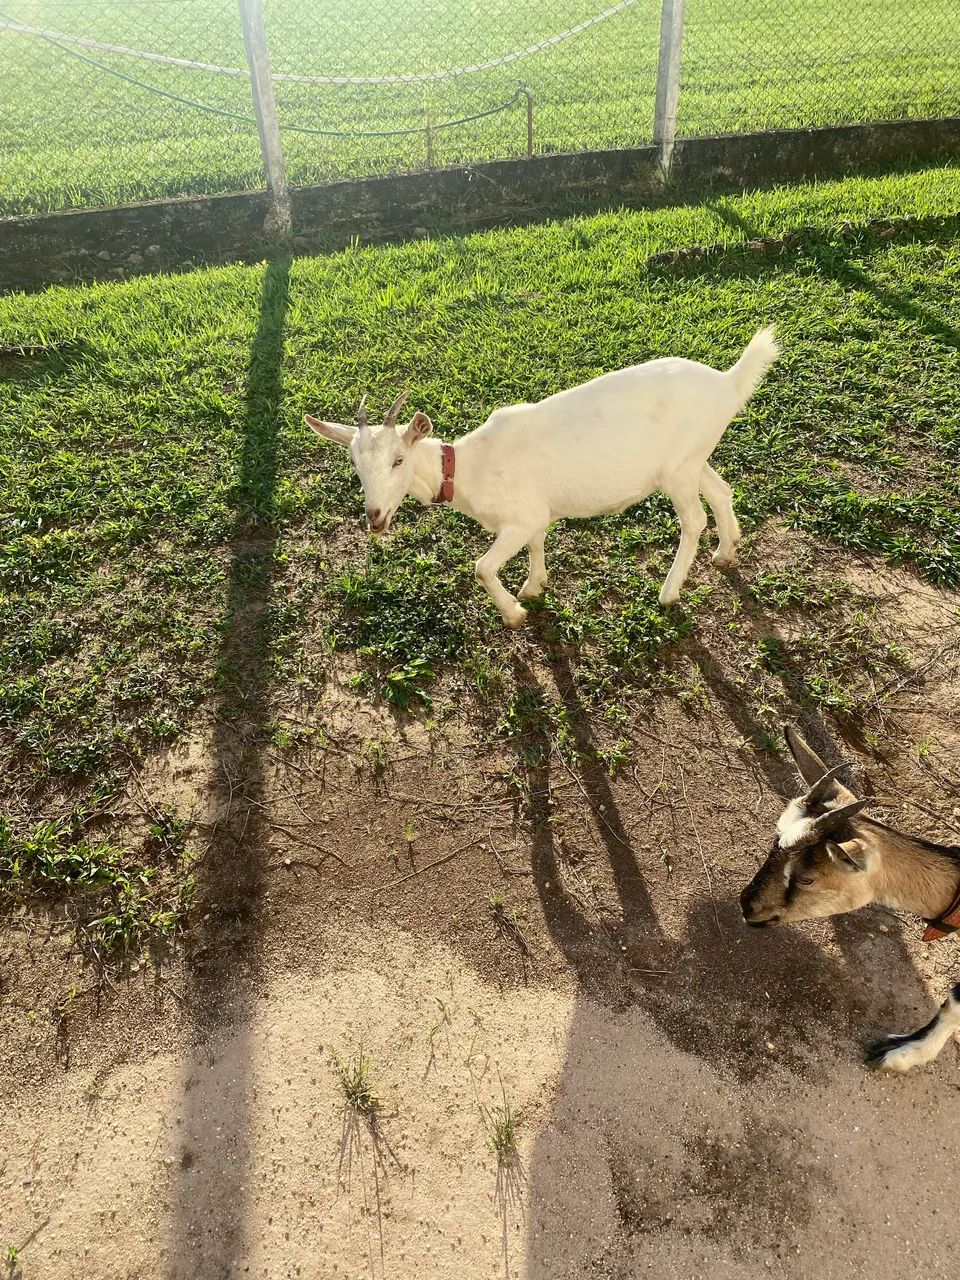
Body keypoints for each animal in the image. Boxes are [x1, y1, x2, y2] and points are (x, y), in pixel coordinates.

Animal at [305, 328, 779, 628]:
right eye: (356, 465)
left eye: (398, 460)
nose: (375, 517)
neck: (469, 469)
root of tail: (728, 383)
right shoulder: (534, 514)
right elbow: (536, 544)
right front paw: (533, 587)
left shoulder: (518, 517)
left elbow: (481, 568)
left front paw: (514, 614)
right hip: (692, 457)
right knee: (721, 490)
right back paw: (725, 552)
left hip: (679, 469)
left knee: (693, 520)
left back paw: (669, 592)